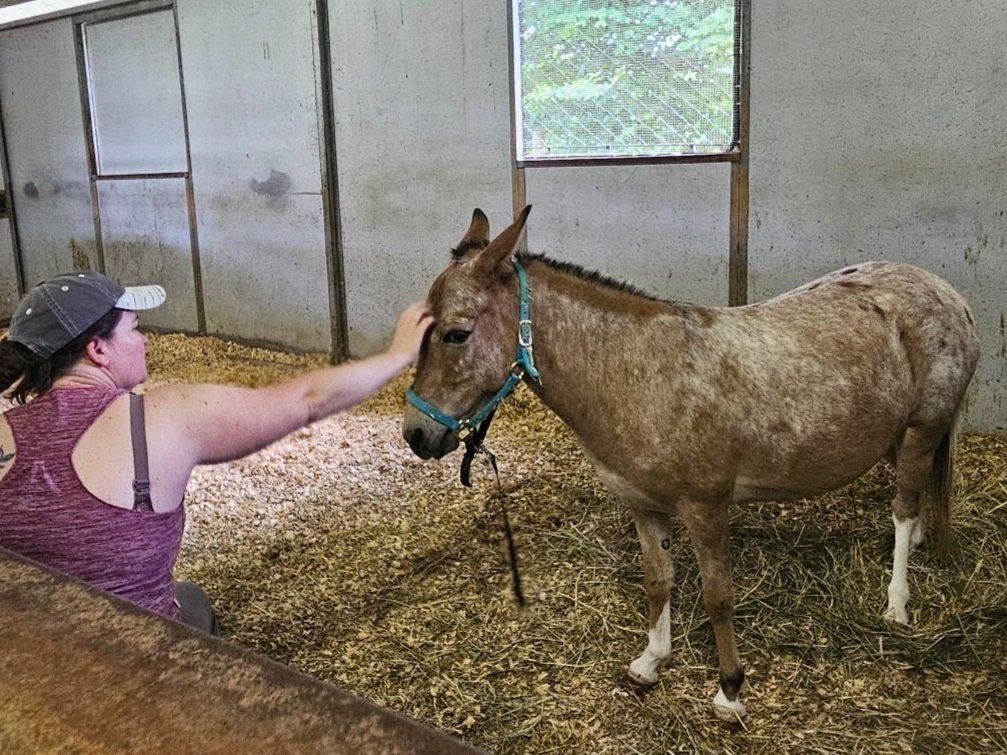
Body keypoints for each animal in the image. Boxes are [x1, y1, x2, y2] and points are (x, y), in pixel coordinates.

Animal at [402, 206, 980, 720]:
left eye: (456, 333)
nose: (416, 434)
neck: (638, 373)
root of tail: (949, 294)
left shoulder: (706, 506)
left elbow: (717, 595)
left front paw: (729, 690)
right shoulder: (644, 505)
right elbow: (658, 580)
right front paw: (650, 662)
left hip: (922, 430)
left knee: (904, 507)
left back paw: (897, 603)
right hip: (896, 435)